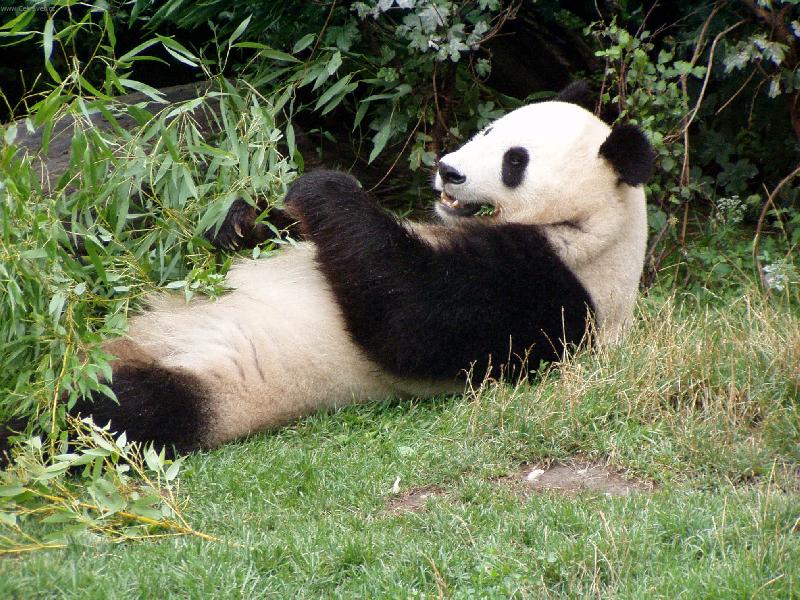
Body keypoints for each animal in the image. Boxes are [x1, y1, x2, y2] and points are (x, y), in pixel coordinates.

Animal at [0, 83, 655, 459]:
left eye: (515, 162)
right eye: (490, 130)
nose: (448, 170)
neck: (598, 227)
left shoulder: (554, 290)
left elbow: (414, 319)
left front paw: (322, 185)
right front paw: (242, 219)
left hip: (199, 387)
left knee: (100, 411)